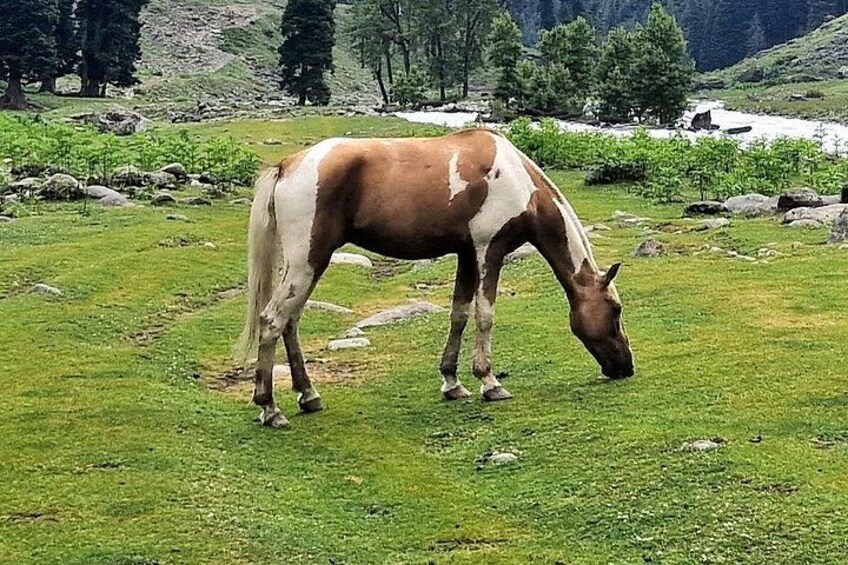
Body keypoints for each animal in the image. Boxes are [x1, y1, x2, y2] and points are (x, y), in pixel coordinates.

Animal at [238, 127, 634, 428]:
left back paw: (309, 395)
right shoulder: (489, 251)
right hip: (307, 262)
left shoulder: (466, 255)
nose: (626, 367)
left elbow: (458, 315)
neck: (518, 180)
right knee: (272, 320)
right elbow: (484, 316)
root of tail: (288, 166)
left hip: (305, 266)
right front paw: (489, 382)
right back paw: (269, 407)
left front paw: (452, 382)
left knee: (290, 323)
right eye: (615, 310)